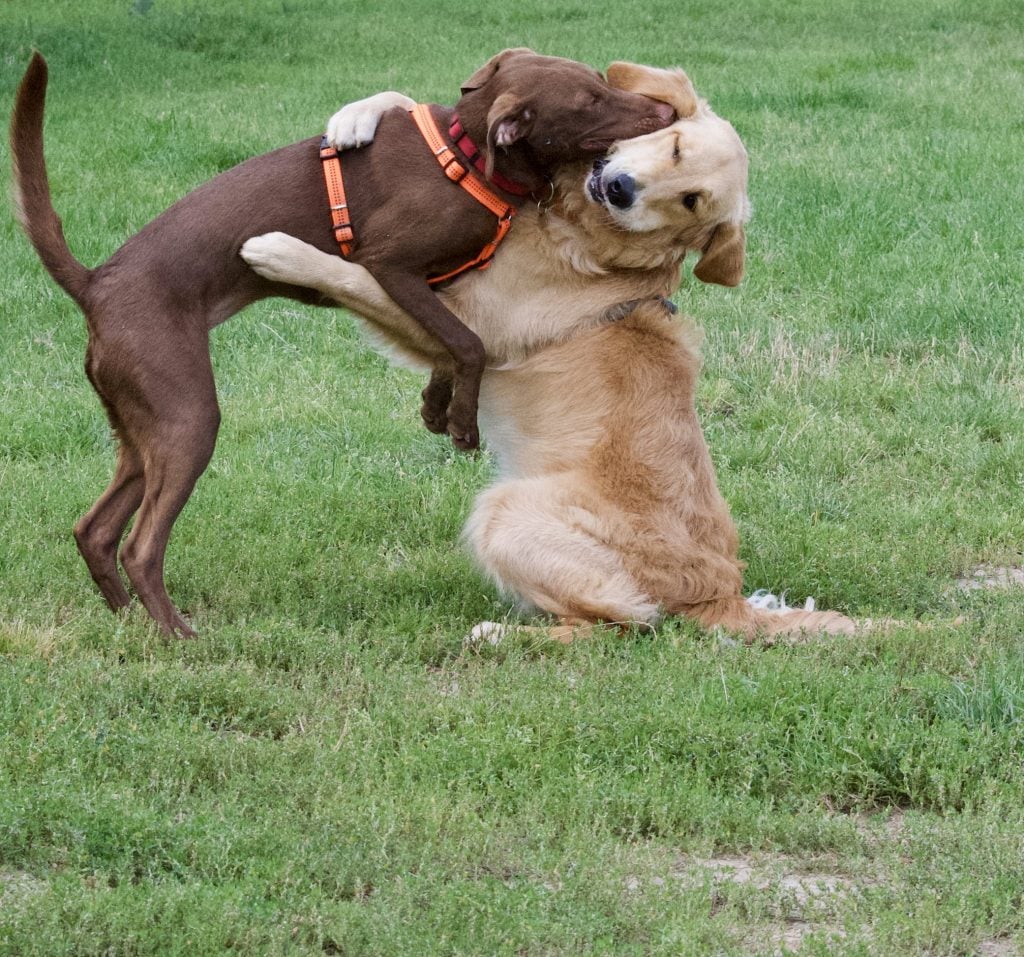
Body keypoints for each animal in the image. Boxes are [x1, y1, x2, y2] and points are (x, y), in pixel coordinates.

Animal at [12, 50, 675, 634]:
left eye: (599, 81)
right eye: (590, 102)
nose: (666, 108)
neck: (466, 156)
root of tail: (96, 283)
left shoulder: (441, 284)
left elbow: (448, 344)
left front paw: (435, 406)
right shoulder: (394, 265)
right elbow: (468, 344)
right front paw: (462, 423)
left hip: (140, 426)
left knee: (94, 530)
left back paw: (130, 623)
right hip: (186, 417)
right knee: (140, 545)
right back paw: (178, 635)